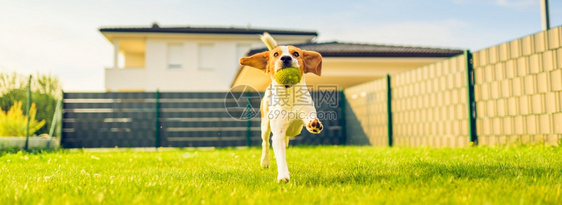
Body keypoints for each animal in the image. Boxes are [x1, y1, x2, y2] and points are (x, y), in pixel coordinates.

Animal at [237, 33, 324, 183]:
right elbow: (280, 156)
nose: (286, 58)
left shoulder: (306, 112)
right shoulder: (277, 133)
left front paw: (314, 124)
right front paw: (283, 176)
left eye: (296, 53)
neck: (289, 96)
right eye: (276, 54)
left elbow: (309, 120)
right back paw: (265, 162)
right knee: (265, 143)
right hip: (265, 125)